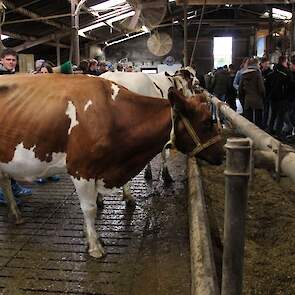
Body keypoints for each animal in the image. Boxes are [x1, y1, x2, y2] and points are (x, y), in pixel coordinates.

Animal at [0, 74, 222, 260]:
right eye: (207, 123)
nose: (222, 154)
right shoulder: (81, 169)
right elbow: (89, 209)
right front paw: (95, 246)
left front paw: (89, 235)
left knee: (4, 180)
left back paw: (16, 214)